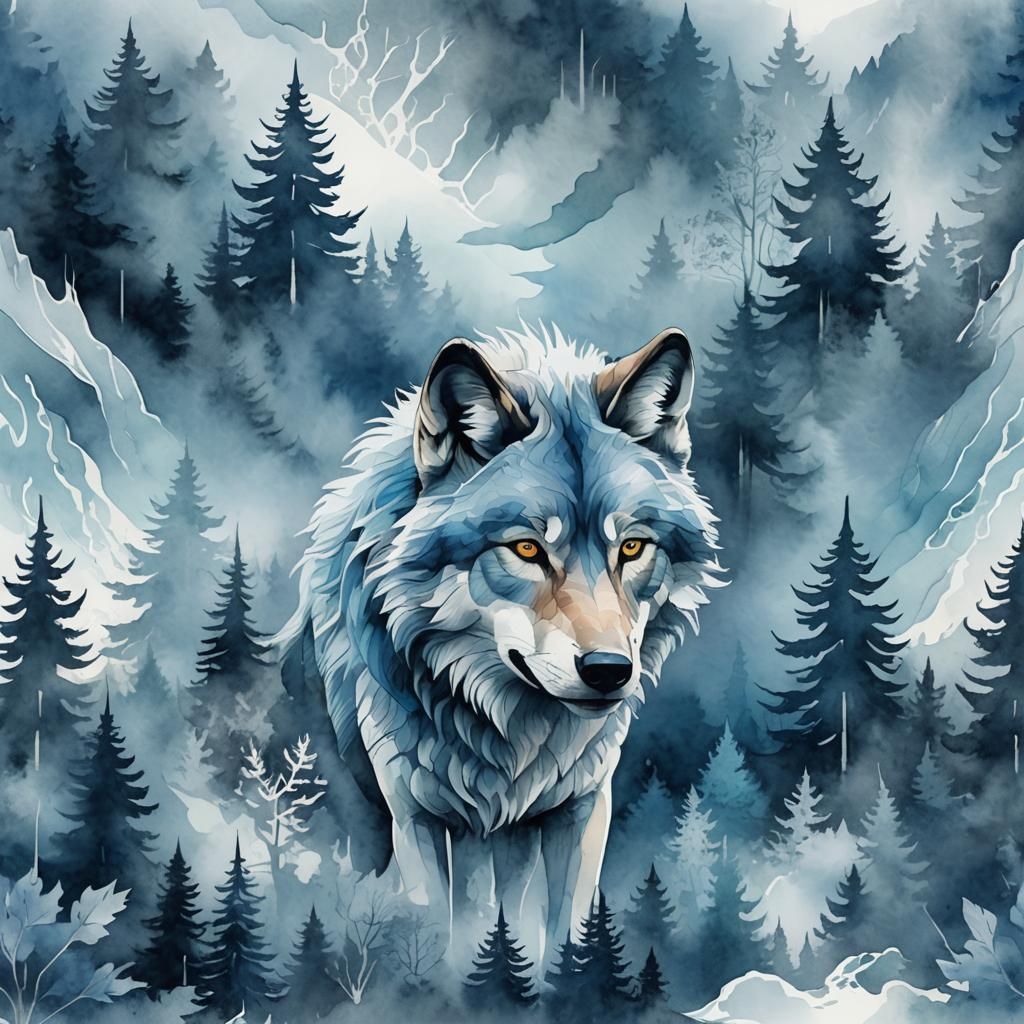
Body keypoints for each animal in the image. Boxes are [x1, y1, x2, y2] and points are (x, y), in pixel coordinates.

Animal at [280, 323, 721, 952]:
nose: (609, 670)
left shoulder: (581, 808)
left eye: (632, 546)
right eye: (528, 548)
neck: (505, 731)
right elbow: (434, 932)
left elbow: (564, 933)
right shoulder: (413, 817)